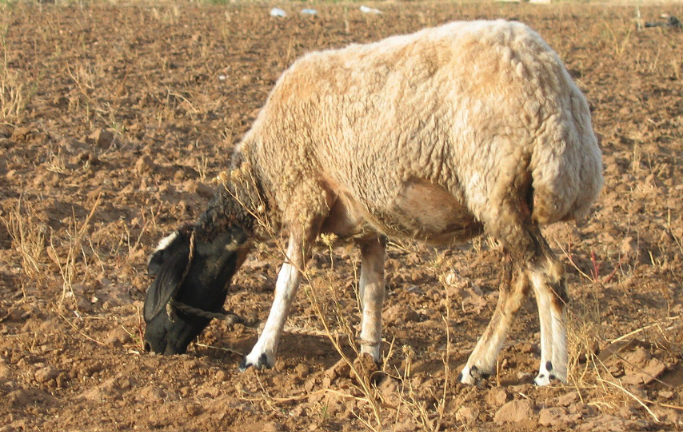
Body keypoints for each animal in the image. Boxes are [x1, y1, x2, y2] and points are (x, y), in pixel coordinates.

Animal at [143, 18, 604, 386]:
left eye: (163, 278)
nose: (151, 346)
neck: (262, 177)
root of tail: (559, 98)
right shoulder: (367, 224)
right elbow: (372, 291)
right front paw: (368, 359)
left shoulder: (306, 197)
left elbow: (285, 284)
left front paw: (259, 355)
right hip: (511, 201)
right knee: (517, 280)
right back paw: (478, 367)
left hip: (496, 188)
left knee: (546, 273)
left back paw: (550, 373)